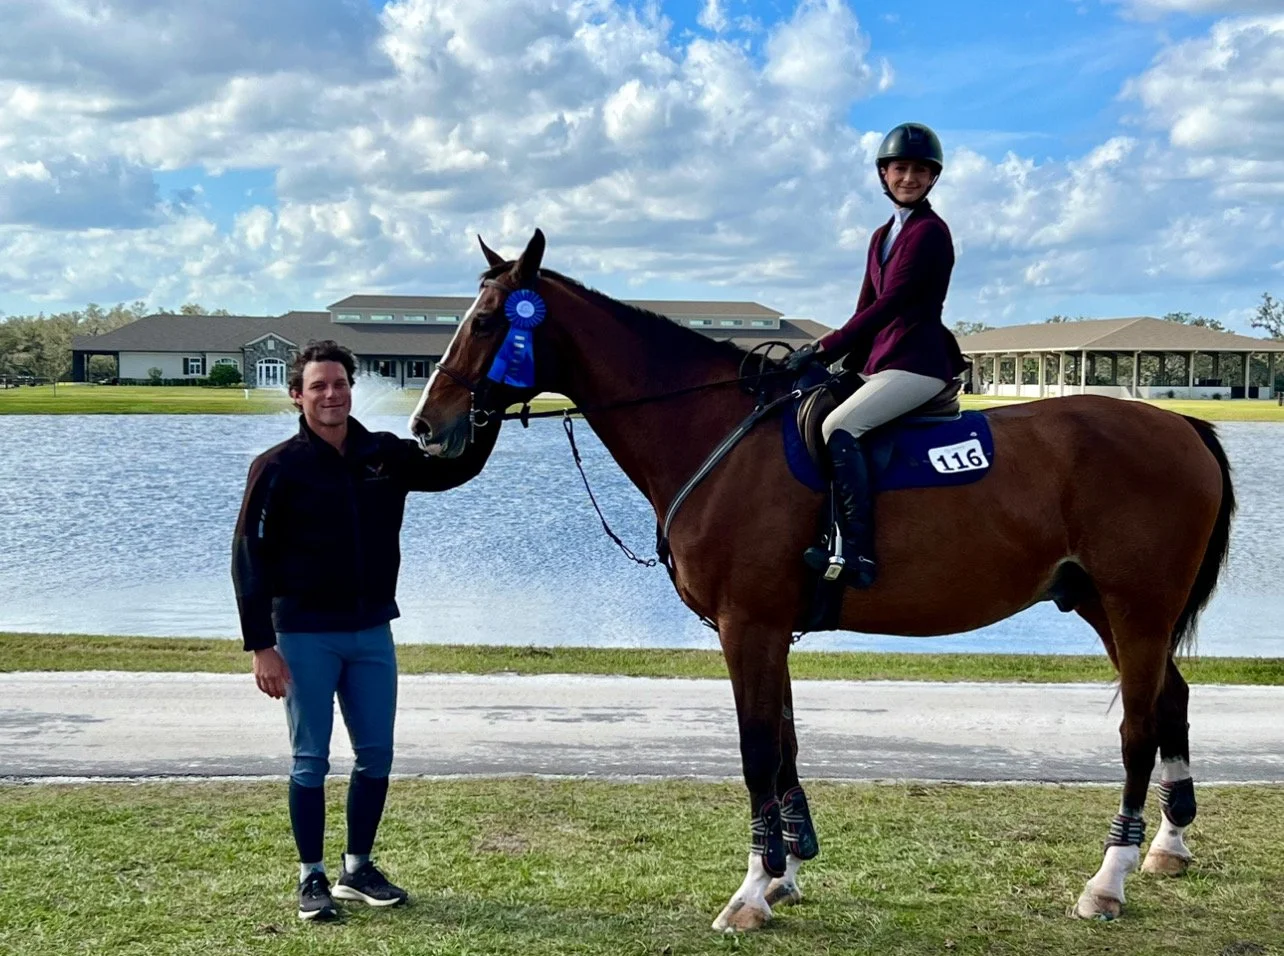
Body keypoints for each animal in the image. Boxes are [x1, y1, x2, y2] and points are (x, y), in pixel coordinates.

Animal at [409, 229, 1234, 932]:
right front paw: (785, 871)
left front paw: (751, 890)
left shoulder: (748, 626)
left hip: (1136, 607)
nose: (423, 426)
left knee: (1137, 728)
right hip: (1106, 606)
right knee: (1171, 701)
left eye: (487, 322)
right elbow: (786, 744)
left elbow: (756, 751)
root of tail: (1181, 425)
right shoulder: (767, 628)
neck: (716, 435)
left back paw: (1108, 880)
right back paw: (1168, 845)